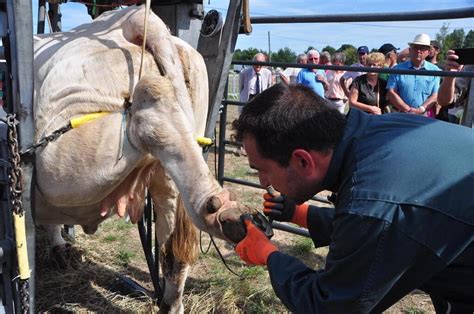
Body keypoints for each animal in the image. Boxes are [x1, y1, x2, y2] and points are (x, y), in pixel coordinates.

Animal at [33, 4, 248, 312]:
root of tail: (134, 17)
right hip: (168, 179)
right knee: (173, 253)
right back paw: (222, 211)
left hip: (60, 154)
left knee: (152, 103)